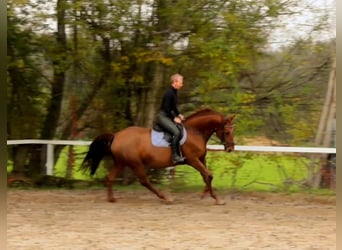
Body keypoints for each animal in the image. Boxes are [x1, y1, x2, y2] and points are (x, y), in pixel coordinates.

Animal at [80, 108, 235, 204]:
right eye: (227, 132)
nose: (230, 148)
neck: (195, 132)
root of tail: (116, 135)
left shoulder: (201, 159)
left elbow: (206, 176)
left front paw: (207, 194)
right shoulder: (193, 160)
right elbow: (209, 175)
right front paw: (215, 198)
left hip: (121, 162)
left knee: (111, 177)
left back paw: (111, 199)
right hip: (135, 163)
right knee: (144, 181)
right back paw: (165, 197)